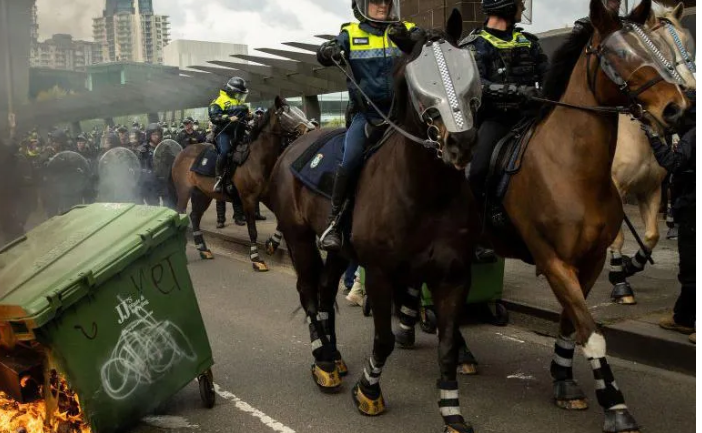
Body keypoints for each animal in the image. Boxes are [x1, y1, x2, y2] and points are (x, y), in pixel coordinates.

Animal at [170, 97, 310, 270]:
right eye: (286, 113)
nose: (311, 128)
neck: (257, 159)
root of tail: (182, 152)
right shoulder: (248, 199)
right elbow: (252, 229)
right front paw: (256, 258)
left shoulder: (267, 196)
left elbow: (281, 220)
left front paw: (272, 243)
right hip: (184, 192)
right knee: (181, 213)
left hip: (202, 194)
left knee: (195, 217)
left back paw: (203, 250)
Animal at [266, 10, 486, 432]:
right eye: (420, 81)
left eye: (466, 66)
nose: (461, 143)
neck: (427, 194)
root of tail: (295, 146)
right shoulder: (381, 273)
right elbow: (383, 340)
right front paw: (369, 391)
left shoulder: (453, 275)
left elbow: (448, 345)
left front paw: (452, 411)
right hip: (298, 236)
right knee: (307, 292)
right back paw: (323, 362)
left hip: (337, 251)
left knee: (323, 291)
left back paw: (334, 356)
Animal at [608, 0, 696, 304]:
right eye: (658, 46)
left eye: (688, 42)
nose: (690, 90)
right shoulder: (615, 189)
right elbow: (618, 237)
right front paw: (620, 283)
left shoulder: (651, 188)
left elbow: (651, 236)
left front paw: (628, 266)